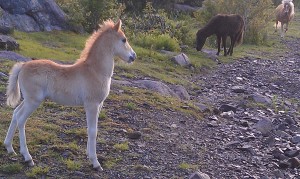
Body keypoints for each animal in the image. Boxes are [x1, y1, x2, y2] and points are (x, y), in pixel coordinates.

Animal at [3, 19, 137, 171]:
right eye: (124, 39)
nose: (133, 56)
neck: (95, 71)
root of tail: (23, 66)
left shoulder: (99, 105)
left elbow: (90, 129)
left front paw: (89, 155)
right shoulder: (92, 104)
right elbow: (93, 131)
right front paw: (95, 163)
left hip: (28, 100)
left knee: (15, 113)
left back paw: (9, 148)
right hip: (33, 101)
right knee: (21, 119)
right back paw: (27, 157)